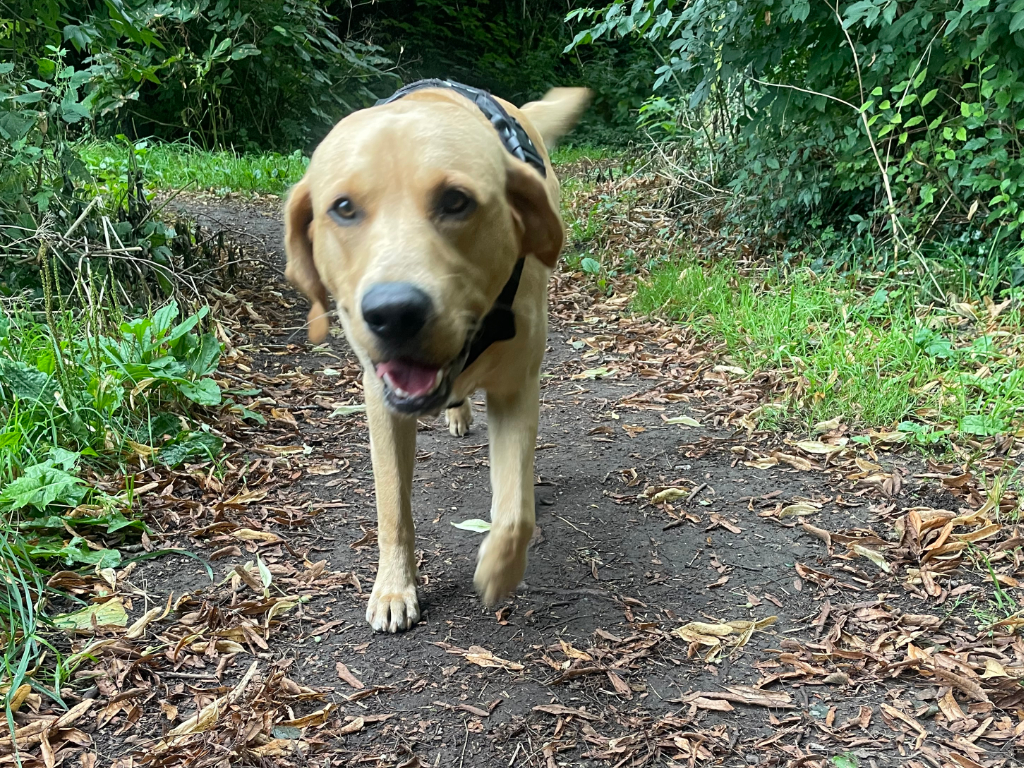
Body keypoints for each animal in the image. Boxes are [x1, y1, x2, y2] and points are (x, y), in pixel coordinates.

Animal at [286, 79, 593, 630]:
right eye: (343, 208)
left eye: (456, 201)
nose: (394, 313)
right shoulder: (381, 401)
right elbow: (392, 507)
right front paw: (393, 587)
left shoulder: (517, 387)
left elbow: (515, 509)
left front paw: (499, 568)